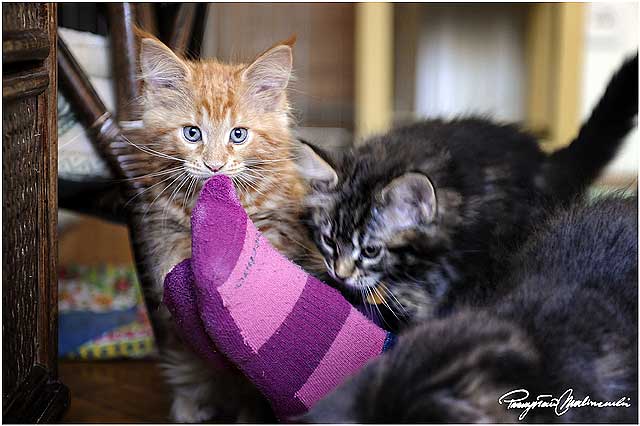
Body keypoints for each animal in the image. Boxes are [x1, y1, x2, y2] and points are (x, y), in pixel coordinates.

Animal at [124, 31, 323, 422]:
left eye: (238, 135)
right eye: (192, 133)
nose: (214, 166)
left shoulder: (281, 227)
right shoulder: (162, 227)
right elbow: (168, 264)